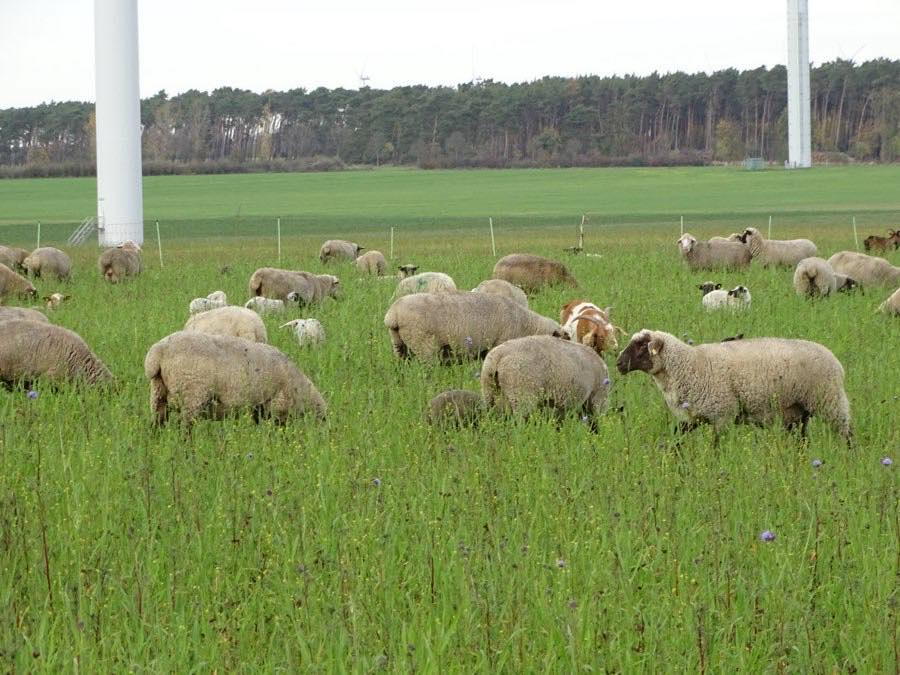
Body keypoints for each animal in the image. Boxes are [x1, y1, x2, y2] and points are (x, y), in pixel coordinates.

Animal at [143, 330, 326, 426]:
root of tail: (158, 352)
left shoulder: (260, 409)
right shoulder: (277, 406)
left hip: (158, 392)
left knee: (157, 423)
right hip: (193, 393)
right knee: (185, 428)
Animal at [616, 330, 851, 440]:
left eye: (641, 346)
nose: (618, 363)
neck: (689, 364)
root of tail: (837, 363)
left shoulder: (722, 416)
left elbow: (715, 447)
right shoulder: (691, 418)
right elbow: (677, 441)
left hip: (830, 401)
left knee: (847, 432)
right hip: (798, 411)